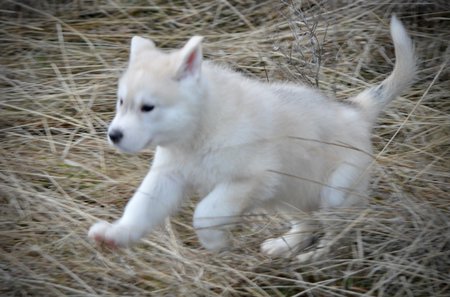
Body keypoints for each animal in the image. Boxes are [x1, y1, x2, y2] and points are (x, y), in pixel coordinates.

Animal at [89, 16, 416, 262]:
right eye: (121, 102)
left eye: (147, 107)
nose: (113, 135)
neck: (199, 129)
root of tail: (357, 111)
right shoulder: (168, 176)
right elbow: (140, 208)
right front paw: (116, 234)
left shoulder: (249, 179)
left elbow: (205, 213)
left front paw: (216, 243)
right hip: (288, 193)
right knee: (307, 222)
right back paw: (284, 246)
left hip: (334, 194)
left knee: (340, 230)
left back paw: (316, 256)